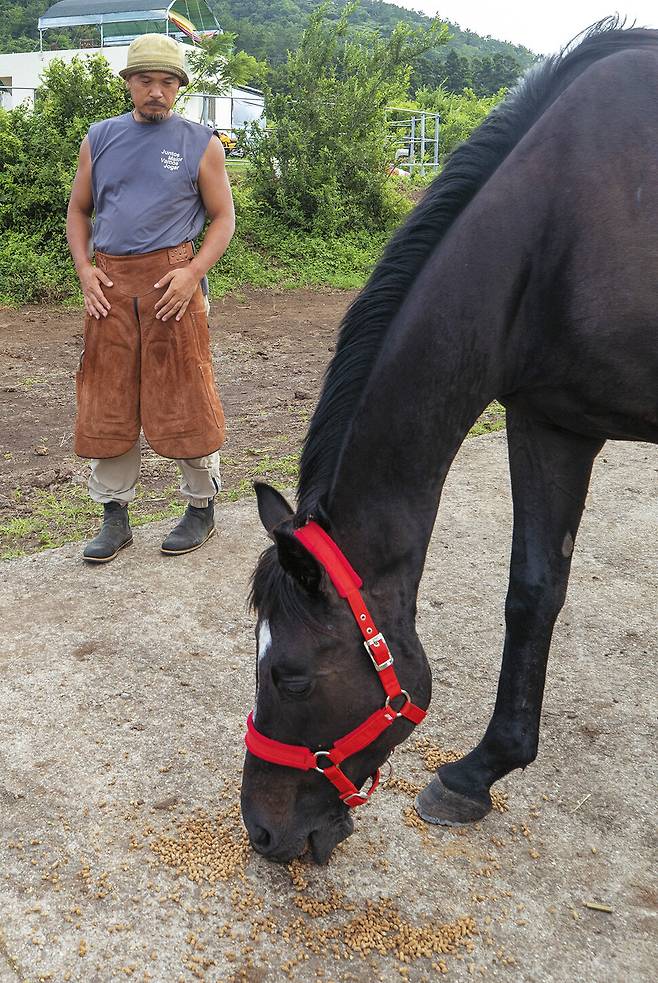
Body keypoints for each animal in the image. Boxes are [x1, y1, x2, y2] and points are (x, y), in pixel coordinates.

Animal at [240, 21, 658, 864]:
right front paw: (478, 772)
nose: (262, 830)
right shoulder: (552, 422)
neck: (566, 222)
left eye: (292, 676)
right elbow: (533, 592)